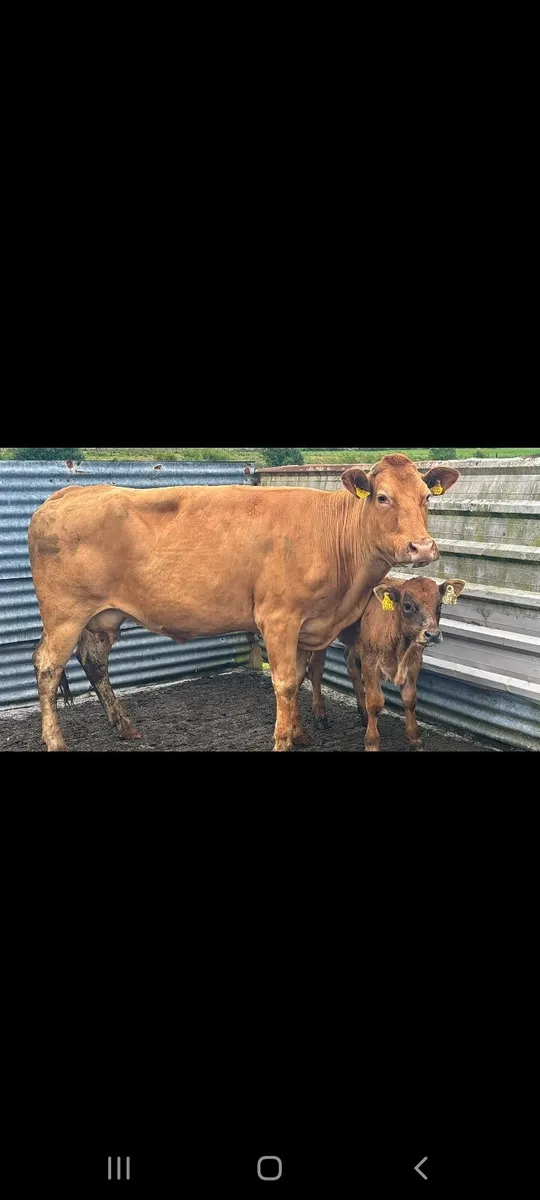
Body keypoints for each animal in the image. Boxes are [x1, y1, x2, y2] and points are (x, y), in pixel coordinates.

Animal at [307, 576, 466, 751]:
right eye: (407, 605)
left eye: (439, 605)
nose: (433, 635)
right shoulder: (370, 661)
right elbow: (375, 702)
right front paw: (371, 742)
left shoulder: (414, 662)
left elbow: (410, 699)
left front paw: (415, 738)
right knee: (316, 669)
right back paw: (320, 715)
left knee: (351, 666)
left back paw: (363, 715)